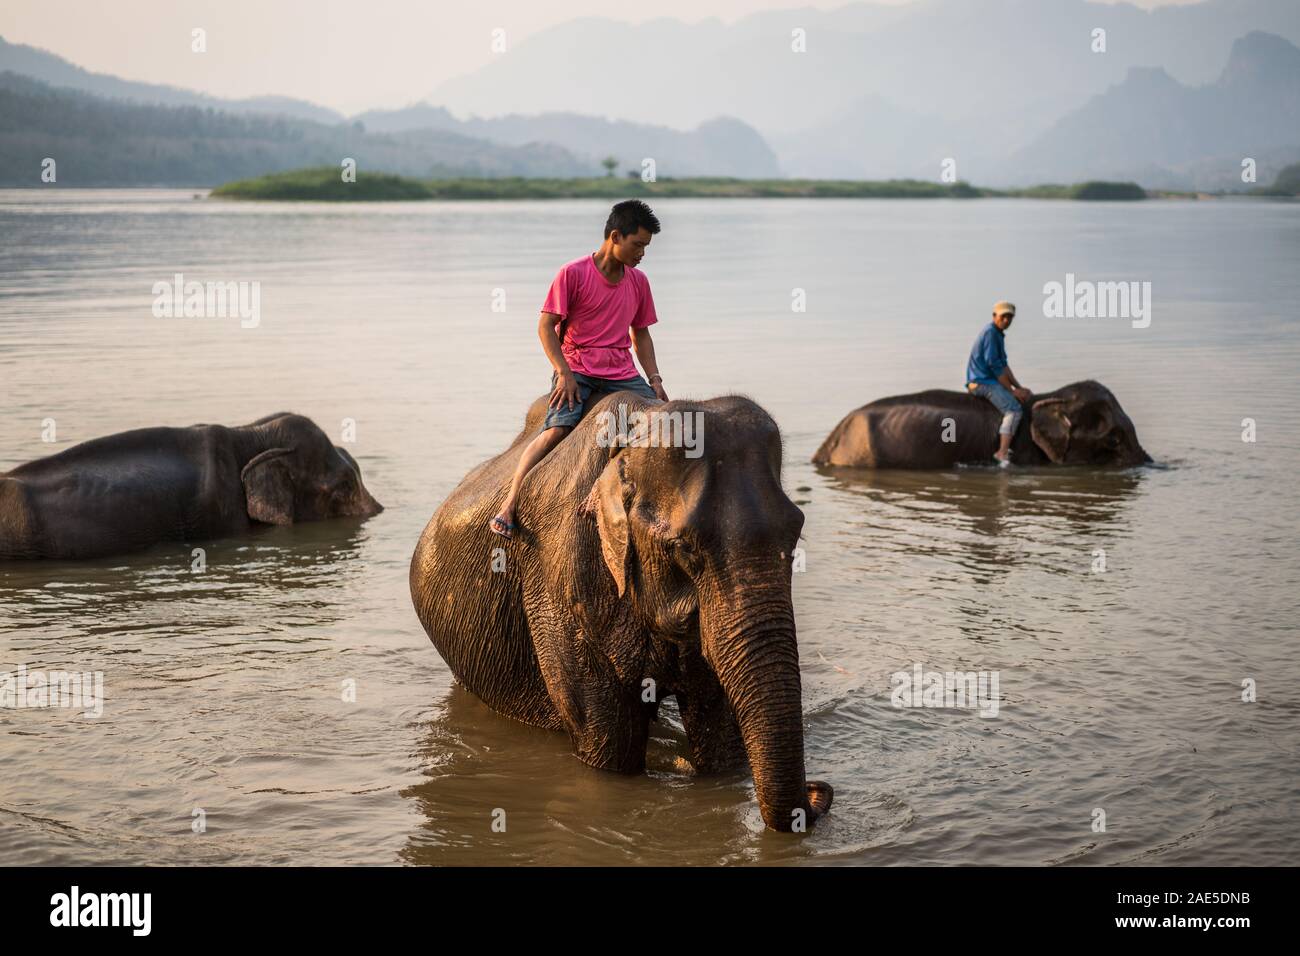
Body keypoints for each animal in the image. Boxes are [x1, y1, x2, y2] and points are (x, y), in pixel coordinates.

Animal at [410, 390, 833, 833]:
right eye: (685, 549)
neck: (635, 432)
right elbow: (610, 745)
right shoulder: (558, 582)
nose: (818, 791)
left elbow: (718, 728)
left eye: (796, 533)